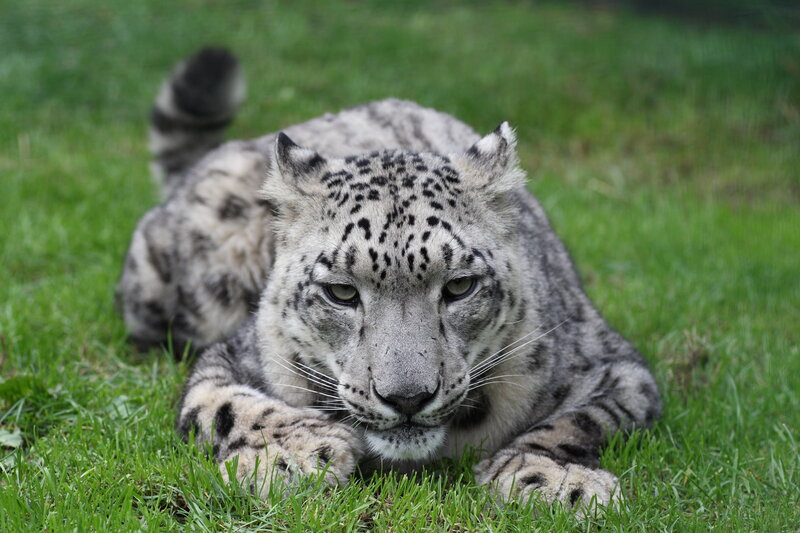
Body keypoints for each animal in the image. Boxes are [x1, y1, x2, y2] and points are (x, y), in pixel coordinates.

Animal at [116, 47, 662, 514]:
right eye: (341, 291)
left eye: (459, 286)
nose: (406, 398)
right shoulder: (236, 357)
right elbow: (224, 404)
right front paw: (296, 454)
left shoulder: (616, 368)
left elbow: (578, 420)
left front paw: (554, 479)